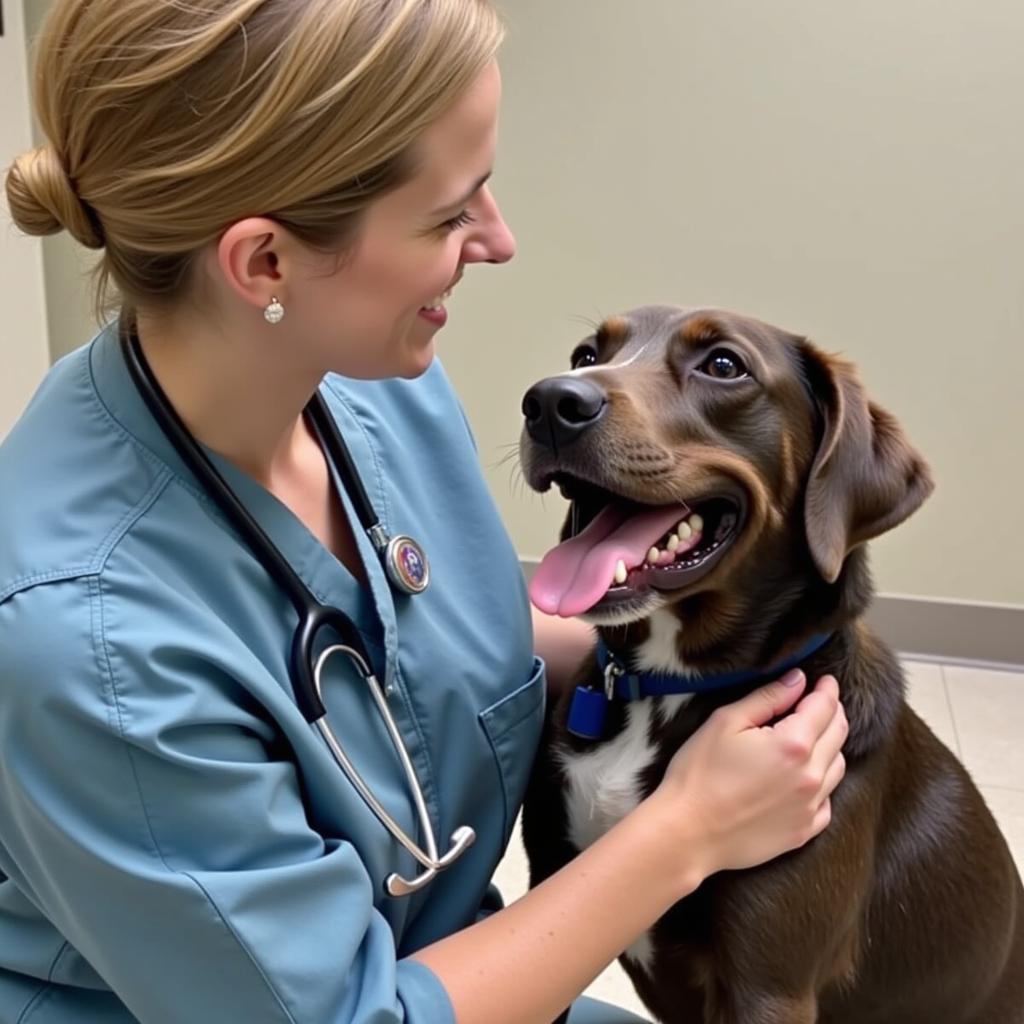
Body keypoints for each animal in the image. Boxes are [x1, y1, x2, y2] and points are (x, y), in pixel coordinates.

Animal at [520, 305, 1024, 1024]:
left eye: (724, 365)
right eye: (587, 354)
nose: (551, 402)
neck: (670, 686)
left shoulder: (768, 985)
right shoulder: (550, 876)